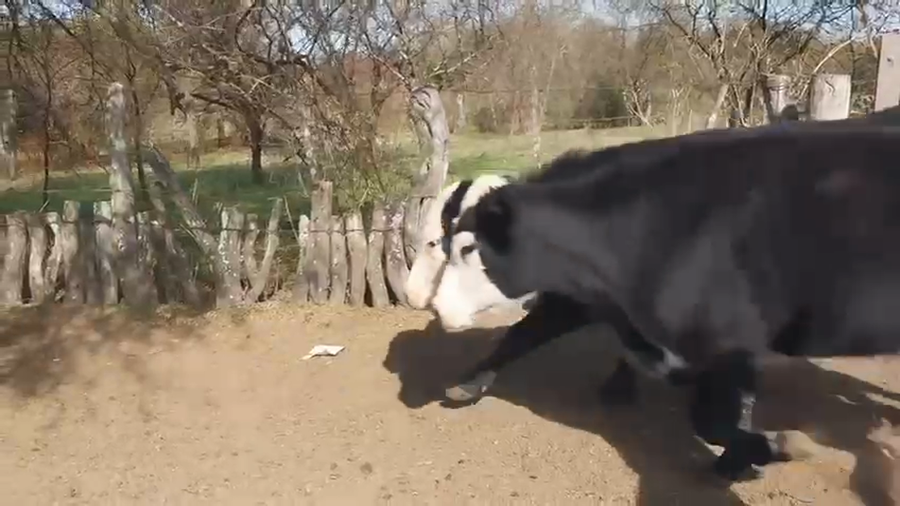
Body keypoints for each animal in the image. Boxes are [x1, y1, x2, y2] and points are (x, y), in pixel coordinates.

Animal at [441, 120, 900, 481]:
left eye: (468, 248)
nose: (440, 310)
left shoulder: (730, 341)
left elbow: (713, 421)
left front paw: (773, 449)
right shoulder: (586, 301)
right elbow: (523, 333)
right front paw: (468, 383)